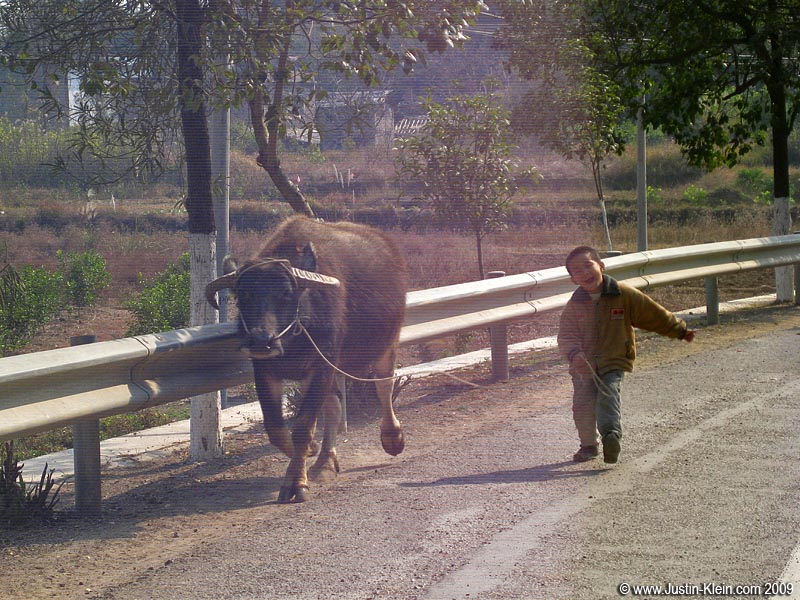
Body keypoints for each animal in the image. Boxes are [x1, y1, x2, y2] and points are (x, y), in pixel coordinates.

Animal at [205, 216, 407, 503]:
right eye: (244, 295)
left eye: (286, 294)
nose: (261, 340)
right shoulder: (265, 369)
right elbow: (276, 428)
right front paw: (311, 449)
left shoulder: (321, 366)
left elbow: (302, 426)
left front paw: (295, 481)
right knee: (334, 407)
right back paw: (324, 462)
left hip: (387, 343)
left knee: (384, 386)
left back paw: (392, 437)